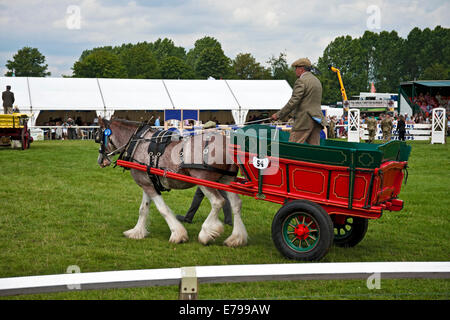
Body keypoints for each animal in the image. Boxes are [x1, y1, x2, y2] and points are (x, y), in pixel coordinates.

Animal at [96, 117, 248, 248]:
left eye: (98, 138)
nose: (100, 161)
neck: (138, 142)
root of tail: (228, 144)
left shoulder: (148, 185)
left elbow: (162, 209)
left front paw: (178, 234)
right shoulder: (147, 183)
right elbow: (143, 209)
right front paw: (137, 232)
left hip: (205, 181)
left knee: (218, 202)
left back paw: (206, 234)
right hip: (227, 180)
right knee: (236, 204)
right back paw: (236, 238)